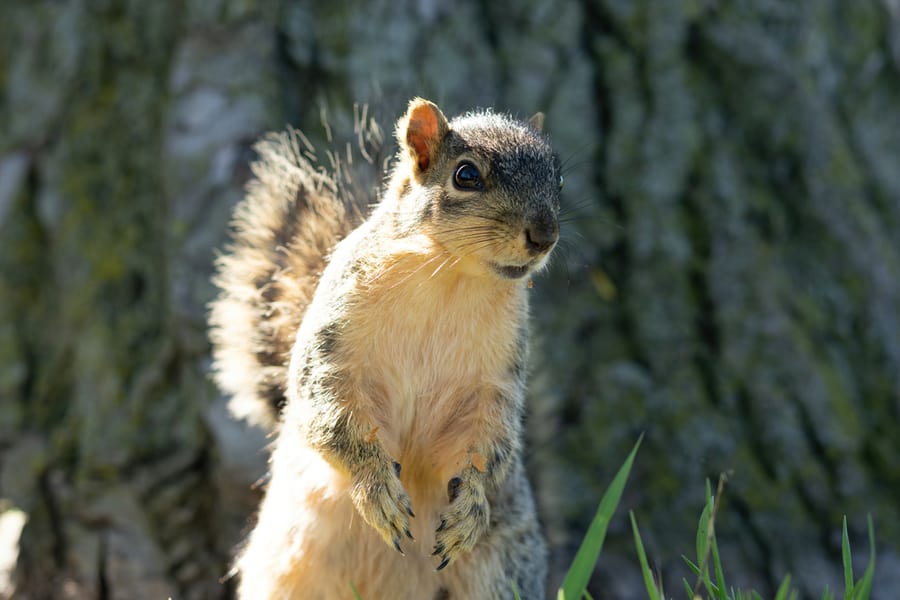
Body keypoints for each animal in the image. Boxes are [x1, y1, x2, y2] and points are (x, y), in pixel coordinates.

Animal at [211, 99, 564, 600]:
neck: (451, 278)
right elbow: (328, 414)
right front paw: (377, 487)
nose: (544, 235)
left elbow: (492, 442)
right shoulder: (333, 348)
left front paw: (472, 505)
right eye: (466, 175)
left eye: (559, 178)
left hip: (500, 573)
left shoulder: (497, 379)